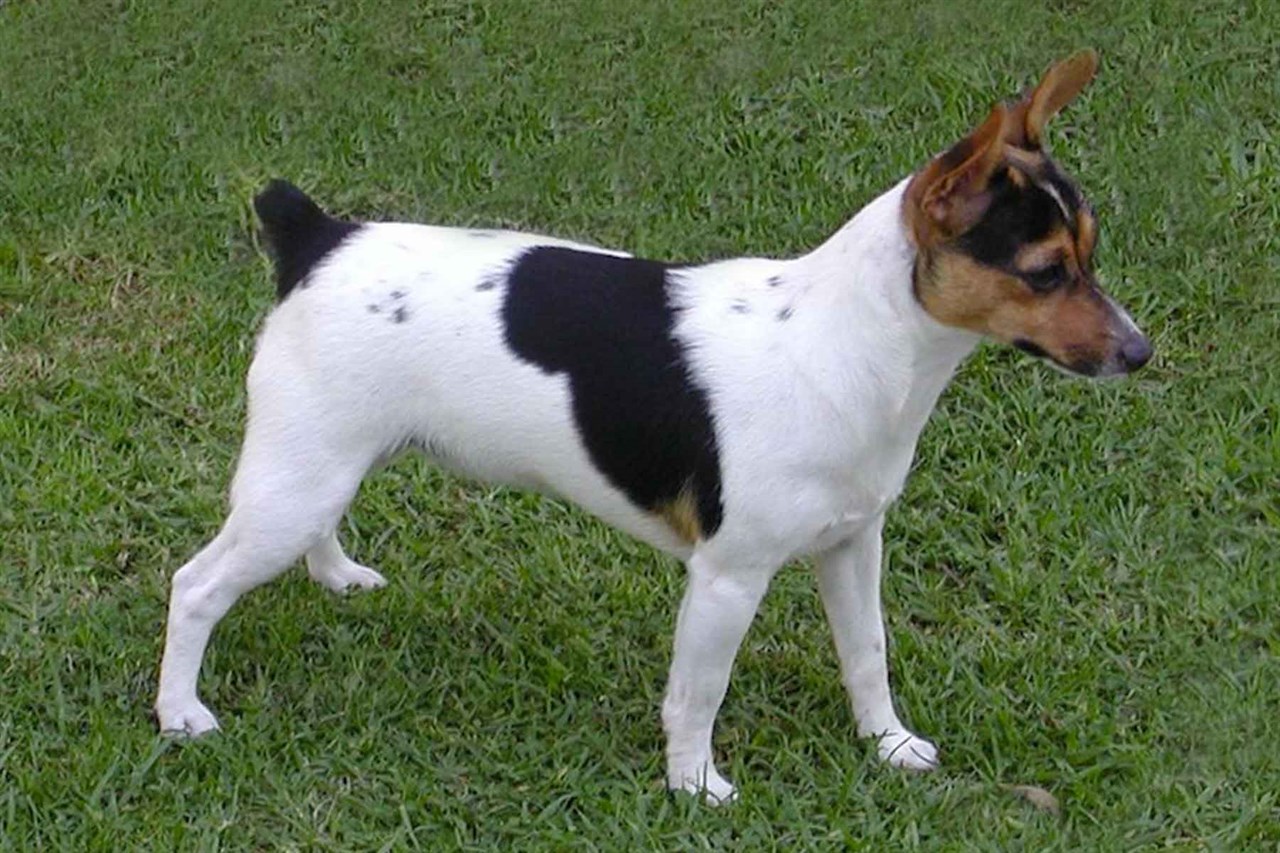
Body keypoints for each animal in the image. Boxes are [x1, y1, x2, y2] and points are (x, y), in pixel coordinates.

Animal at [157, 51, 1152, 799]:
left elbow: (867, 652)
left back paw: (336, 578)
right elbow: (698, 693)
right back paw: (179, 713)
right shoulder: (727, 579)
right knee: (196, 586)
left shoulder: (851, 545)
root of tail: (318, 237)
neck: (846, 344)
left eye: (1091, 255)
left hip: (323, 464)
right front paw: (694, 786)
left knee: (311, 527)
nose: (1141, 352)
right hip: (297, 476)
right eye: (1046, 273)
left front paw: (889, 745)